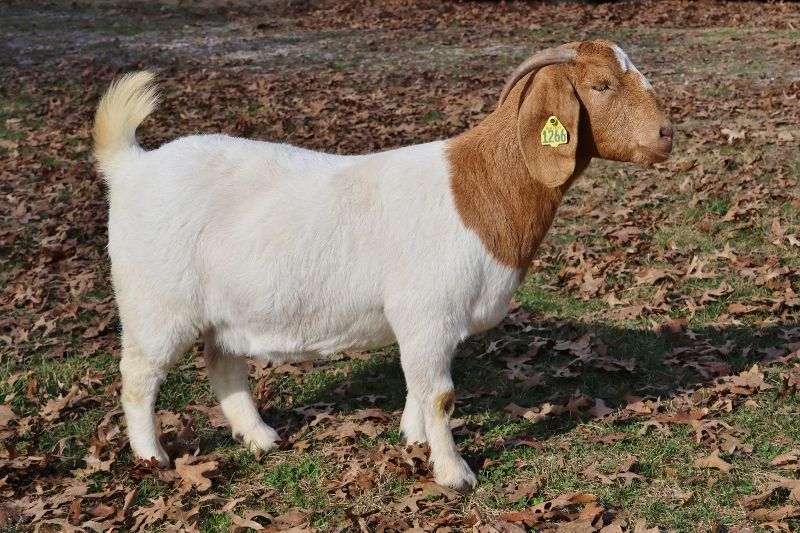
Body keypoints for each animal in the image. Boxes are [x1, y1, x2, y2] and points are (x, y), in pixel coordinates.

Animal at [93, 40, 672, 492]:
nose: (667, 134)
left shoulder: (428, 325)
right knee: (138, 378)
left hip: (225, 310)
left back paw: (261, 438)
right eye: (600, 84)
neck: (478, 188)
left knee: (223, 365)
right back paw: (152, 456)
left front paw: (413, 439)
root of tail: (132, 166)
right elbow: (440, 397)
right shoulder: (428, 313)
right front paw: (455, 474)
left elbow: (419, 386)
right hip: (156, 305)